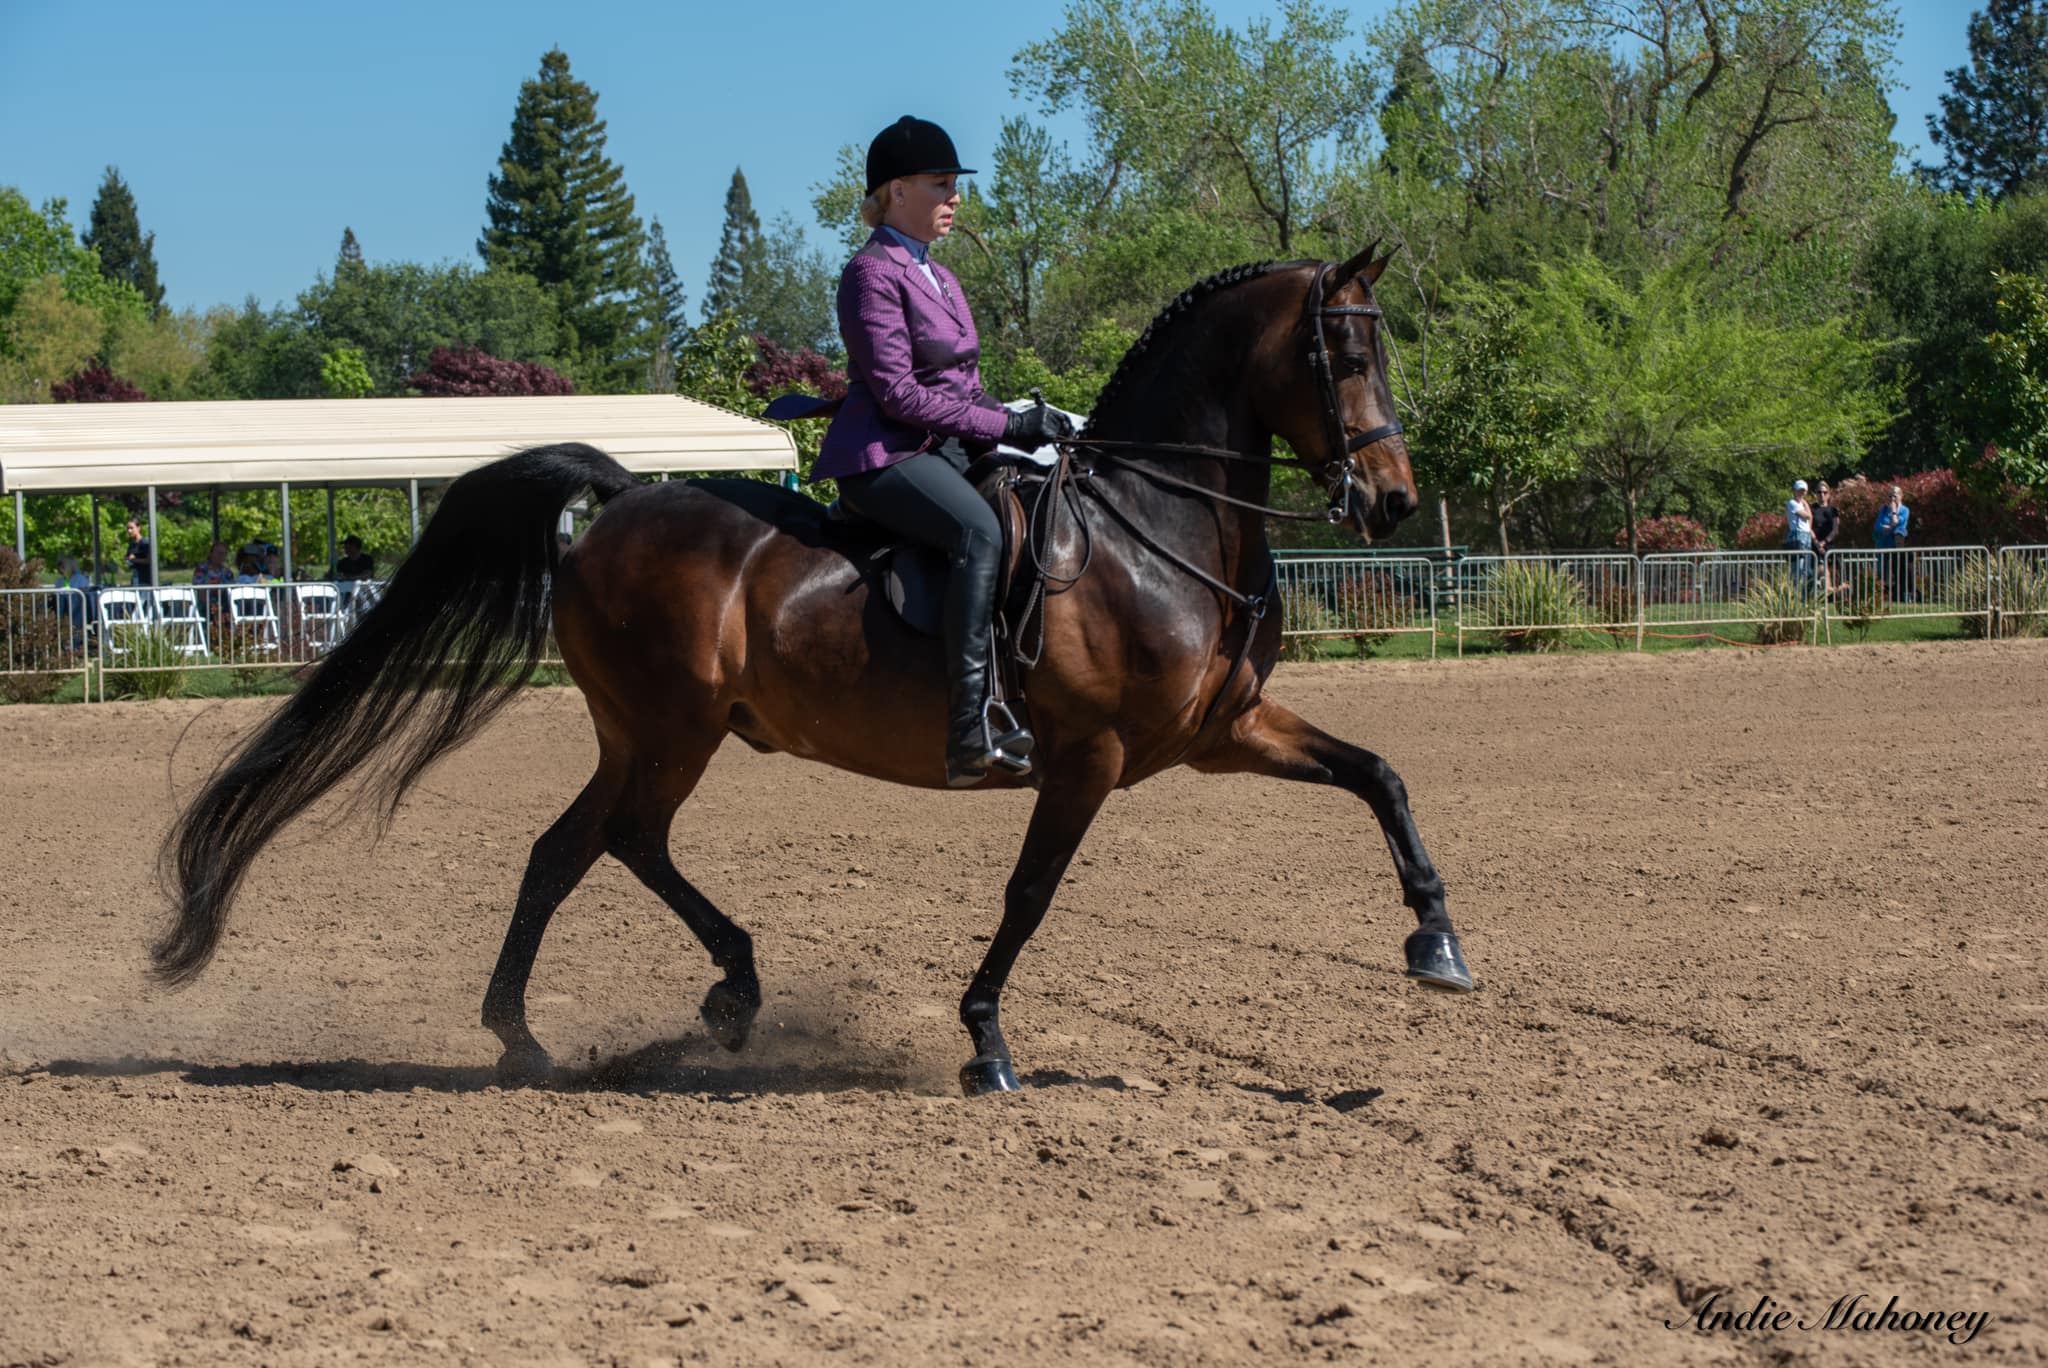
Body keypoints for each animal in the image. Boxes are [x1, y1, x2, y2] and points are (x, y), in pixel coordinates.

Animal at [154, 243, 1475, 1097]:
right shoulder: (1087, 757)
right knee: (620, 840)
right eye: (1337, 353)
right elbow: (1028, 896)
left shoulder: (1217, 735)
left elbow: (1381, 775)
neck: (1157, 524)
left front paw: (1437, 949)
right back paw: (715, 995)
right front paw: (985, 1042)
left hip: (643, 732)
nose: (1389, 499)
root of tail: (622, 497)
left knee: (570, 848)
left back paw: (533, 1036)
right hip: (672, 728)